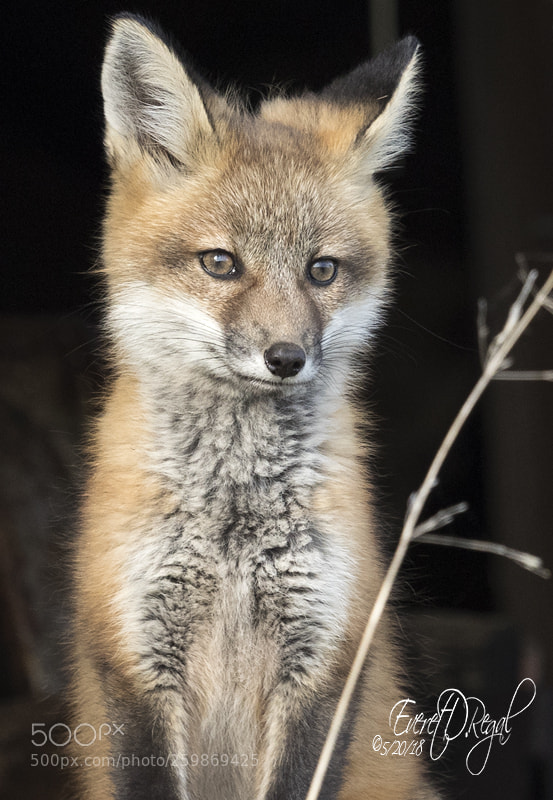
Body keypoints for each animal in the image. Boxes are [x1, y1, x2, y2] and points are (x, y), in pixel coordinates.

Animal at [71, 13, 439, 800]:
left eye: (320, 270)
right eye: (220, 263)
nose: (286, 357)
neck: (234, 523)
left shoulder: (325, 656)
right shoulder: (134, 657)